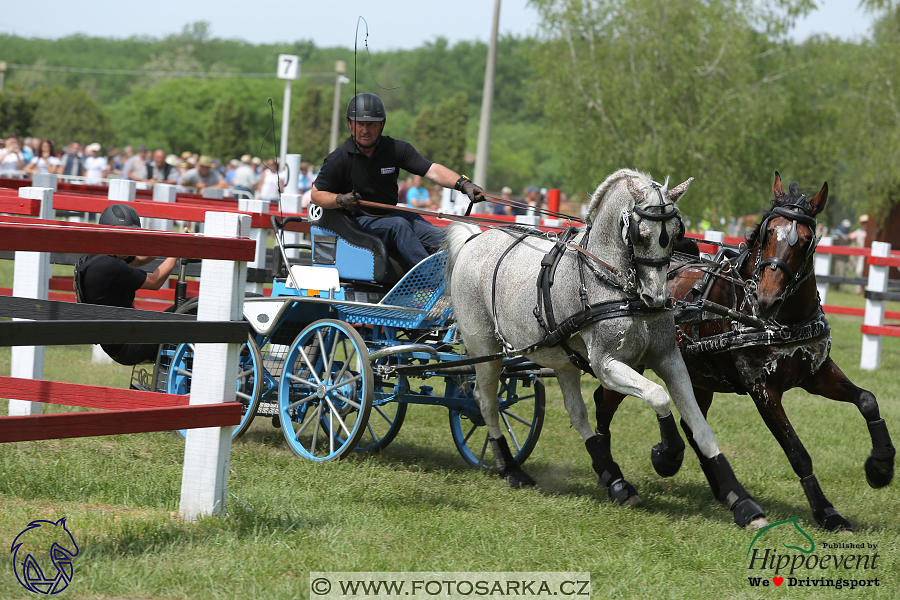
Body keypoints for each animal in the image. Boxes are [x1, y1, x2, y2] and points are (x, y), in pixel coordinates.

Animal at [442, 168, 768, 524]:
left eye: (676, 231)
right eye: (640, 234)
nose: (656, 297)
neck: (614, 284)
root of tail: (474, 239)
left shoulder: (669, 358)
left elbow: (698, 424)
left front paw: (741, 501)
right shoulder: (607, 365)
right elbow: (658, 396)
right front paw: (667, 454)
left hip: (562, 358)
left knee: (577, 414)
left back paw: (615, 481)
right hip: (485, 350)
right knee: (485, 402)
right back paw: (510, 468)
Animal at [596, 172, 896, 528]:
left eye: (806, 240)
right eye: (767, 233)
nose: (766, 299)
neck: (777, 321)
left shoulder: (816, 372)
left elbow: (868, 400)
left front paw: (881, 466)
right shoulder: (763, 389)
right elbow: (797, 452)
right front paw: (826, 511)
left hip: (700, 378)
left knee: (692, 425)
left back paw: (722, 489)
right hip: (631, 363)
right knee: (603, 404)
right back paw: (615, 477)